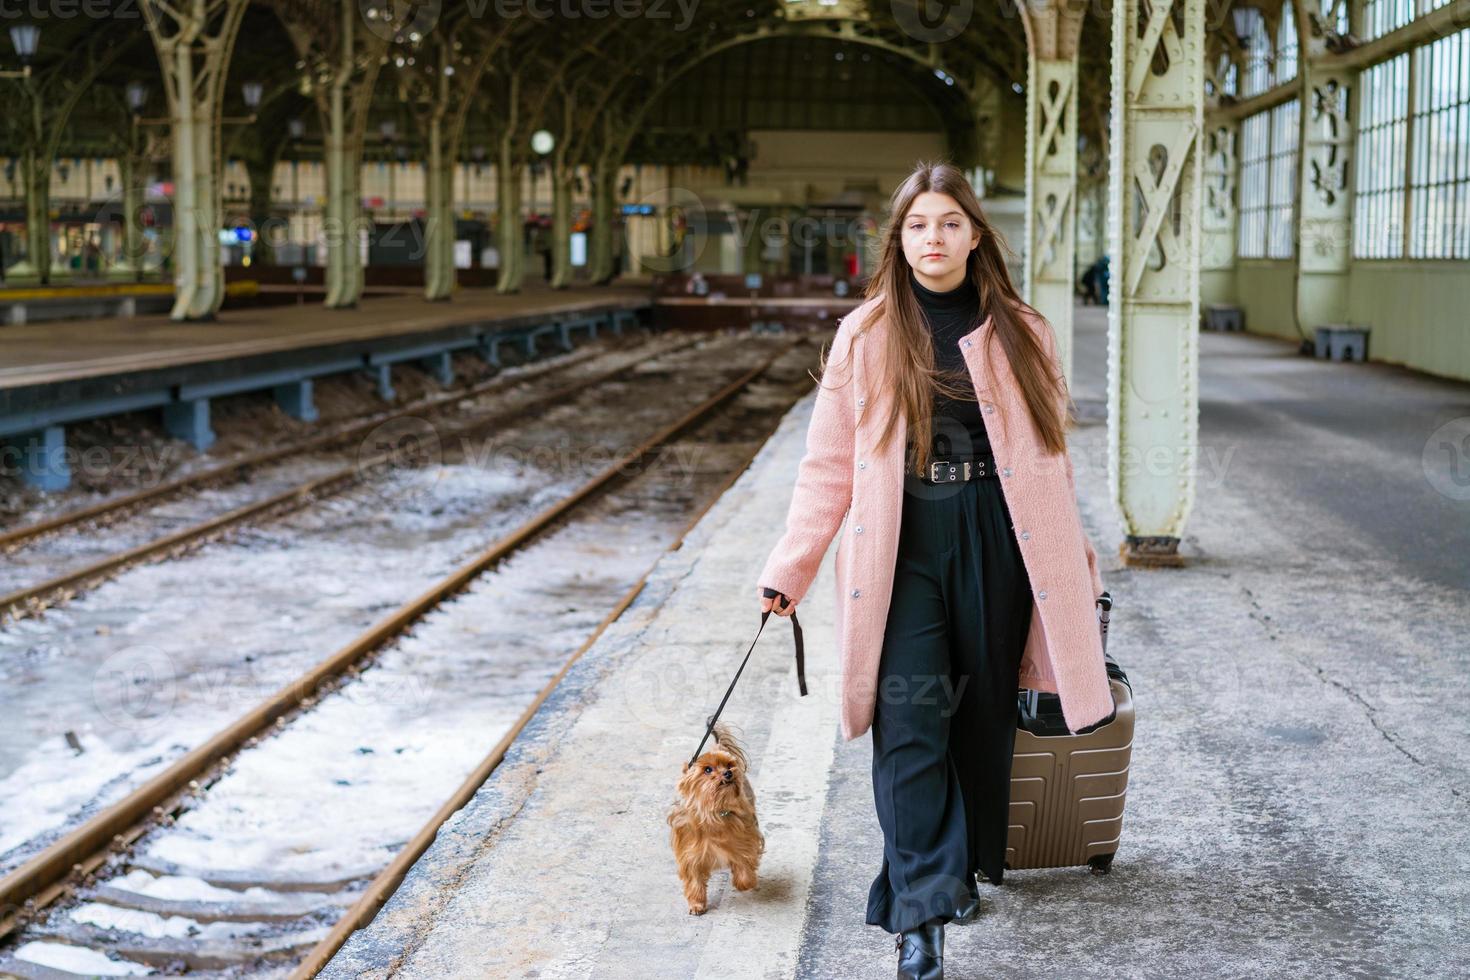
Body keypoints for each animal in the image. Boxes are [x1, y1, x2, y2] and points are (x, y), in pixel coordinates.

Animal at [670, 719, 764, 922]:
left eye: (728, 765)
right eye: (707, 769)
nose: (729, 773)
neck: (713, 813)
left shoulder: (743, 840)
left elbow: (744, 863)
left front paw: (746, 883)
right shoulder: (691, 854)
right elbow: (694, 880)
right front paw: (697, 904)